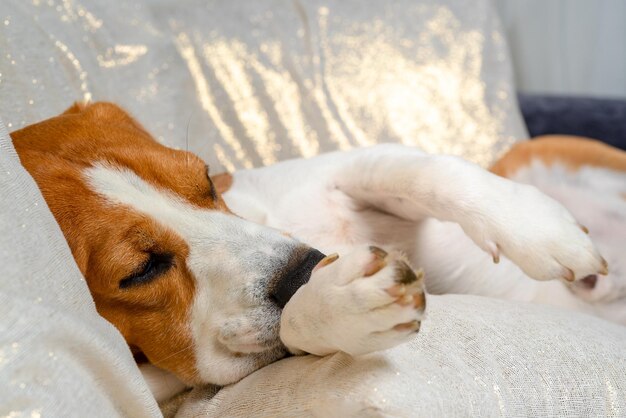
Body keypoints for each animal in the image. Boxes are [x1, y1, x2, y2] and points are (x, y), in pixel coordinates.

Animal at [11, 101, 620, 398]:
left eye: (205, 179)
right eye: (140, 271)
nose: (306, 267)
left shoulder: (343, 167)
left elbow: (425, 170)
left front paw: (540, 228)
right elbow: (291, 323)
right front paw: (337, 306)